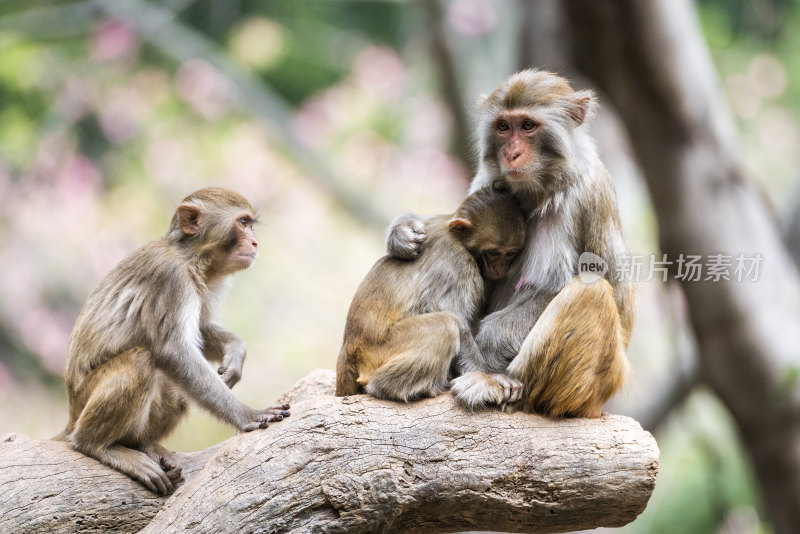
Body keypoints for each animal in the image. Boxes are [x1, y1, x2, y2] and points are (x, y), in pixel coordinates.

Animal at [58, 189, 290, 498]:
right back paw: (95, 444)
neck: (191, 258)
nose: (254, 242)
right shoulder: (171, 280)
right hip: (85, 399)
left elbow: (200, 331)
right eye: (243, 222)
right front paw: (247, 414)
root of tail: (71, 414)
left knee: (176, 391)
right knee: (141, 360)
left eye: (250, 224)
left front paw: (236, 353)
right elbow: (174, 352)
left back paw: (144, 444)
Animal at [336, 186, 528, 404]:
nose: (501, 267)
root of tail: (347, 353)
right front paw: (488, 375)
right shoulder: (457, 262)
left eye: (511, 253)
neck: (457, 238)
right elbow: (453, 316)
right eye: (494, 252)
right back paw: (387, 388)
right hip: (376, 352)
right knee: (445, 325)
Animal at [388, 69, 632, 418]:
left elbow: (579, 287)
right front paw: (403, 231)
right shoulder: (487, 182)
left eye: (528, 125)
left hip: (594, 385)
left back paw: (500, 387)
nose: (511, 154)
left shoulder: (586, 193)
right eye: (503, 127)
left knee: (591, 290)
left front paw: (488, 346)